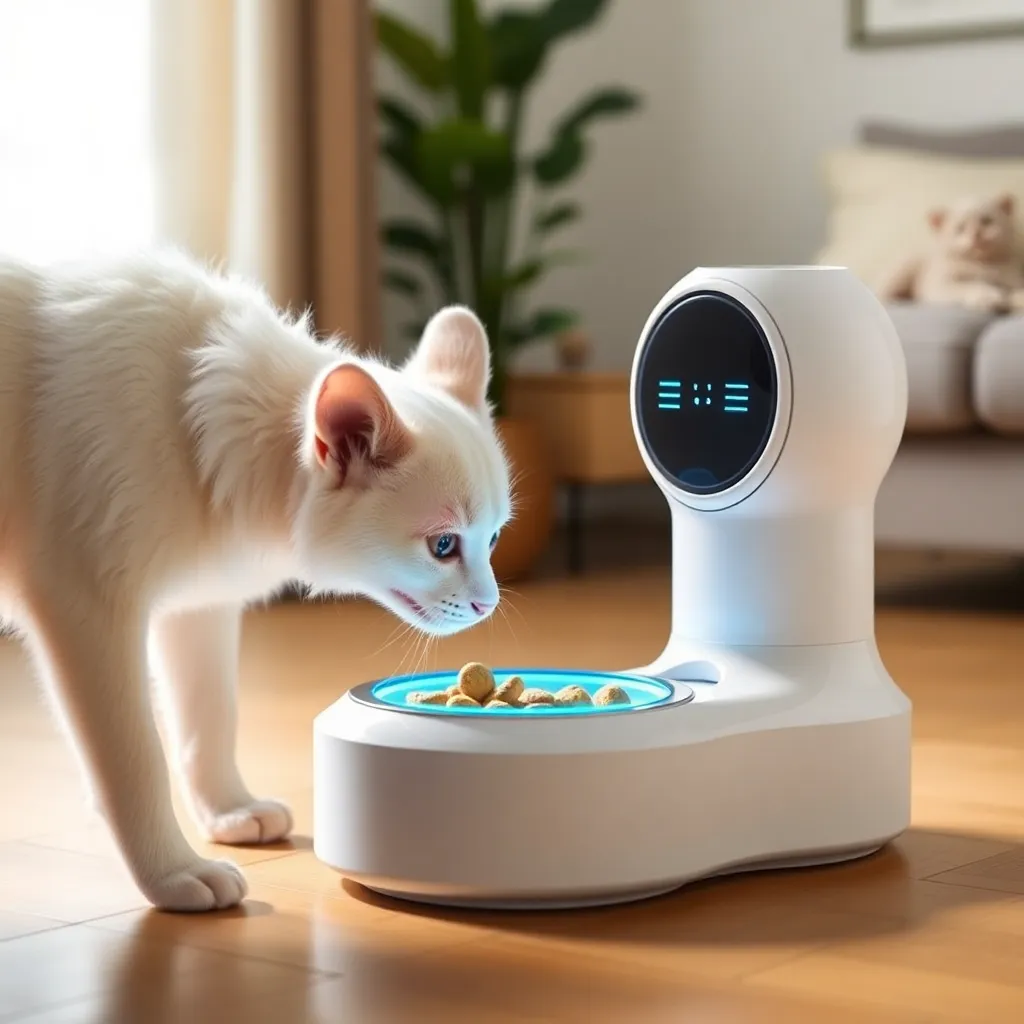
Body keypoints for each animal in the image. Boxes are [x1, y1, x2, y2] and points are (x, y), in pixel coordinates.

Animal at [0, 247, 509, 913]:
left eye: (494, 538)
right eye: (443, 546)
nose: (487, 606)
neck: (192, 422)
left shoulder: (200, 603)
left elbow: (211, 717)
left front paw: (227, 812)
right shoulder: (86, 605)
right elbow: (134, 759)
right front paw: (171, 873)